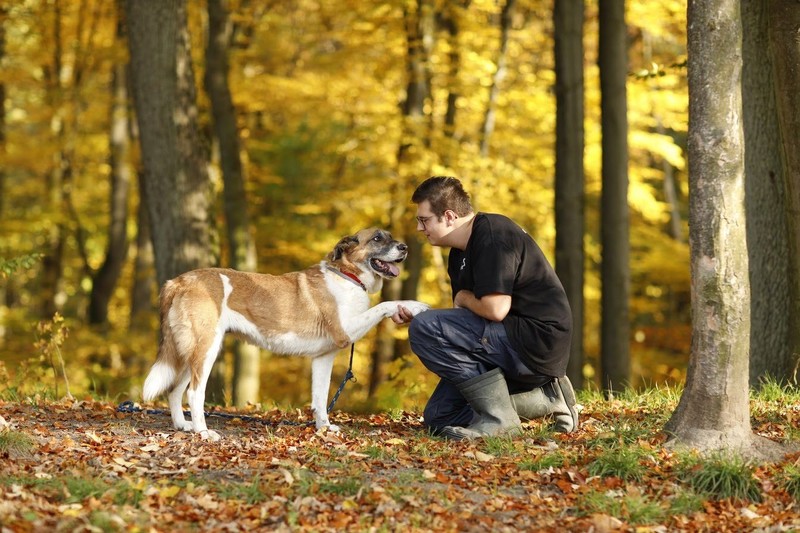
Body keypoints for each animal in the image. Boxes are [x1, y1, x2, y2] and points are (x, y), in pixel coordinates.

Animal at [144, 229, 432, 440]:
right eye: (377, 238)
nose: (405, 247)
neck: (348, 276)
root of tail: (178, 281)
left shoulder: (323, 357)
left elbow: (320, 397)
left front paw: (323, 428)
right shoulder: (345, 331)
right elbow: (383, 305)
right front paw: (414, 305)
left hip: (191, 351)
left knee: (175, 390)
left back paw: (184, 425)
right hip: (206, 348)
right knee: (194, 392)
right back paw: (203, 432)